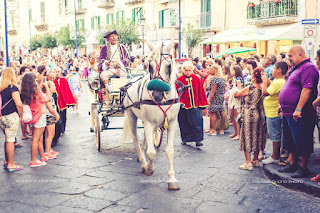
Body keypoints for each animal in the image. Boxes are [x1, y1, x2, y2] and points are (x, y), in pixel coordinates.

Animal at [120, 40, 180, 191]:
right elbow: (152, 153)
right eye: (150, 65)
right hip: (131, 114)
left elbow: (169, 151)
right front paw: (148, 168)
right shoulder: (148, 123)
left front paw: (172, 179)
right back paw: (142, 161)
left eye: (169, 65)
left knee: (146, 139)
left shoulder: (172, 123)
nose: (157, 94)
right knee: (136, 138)